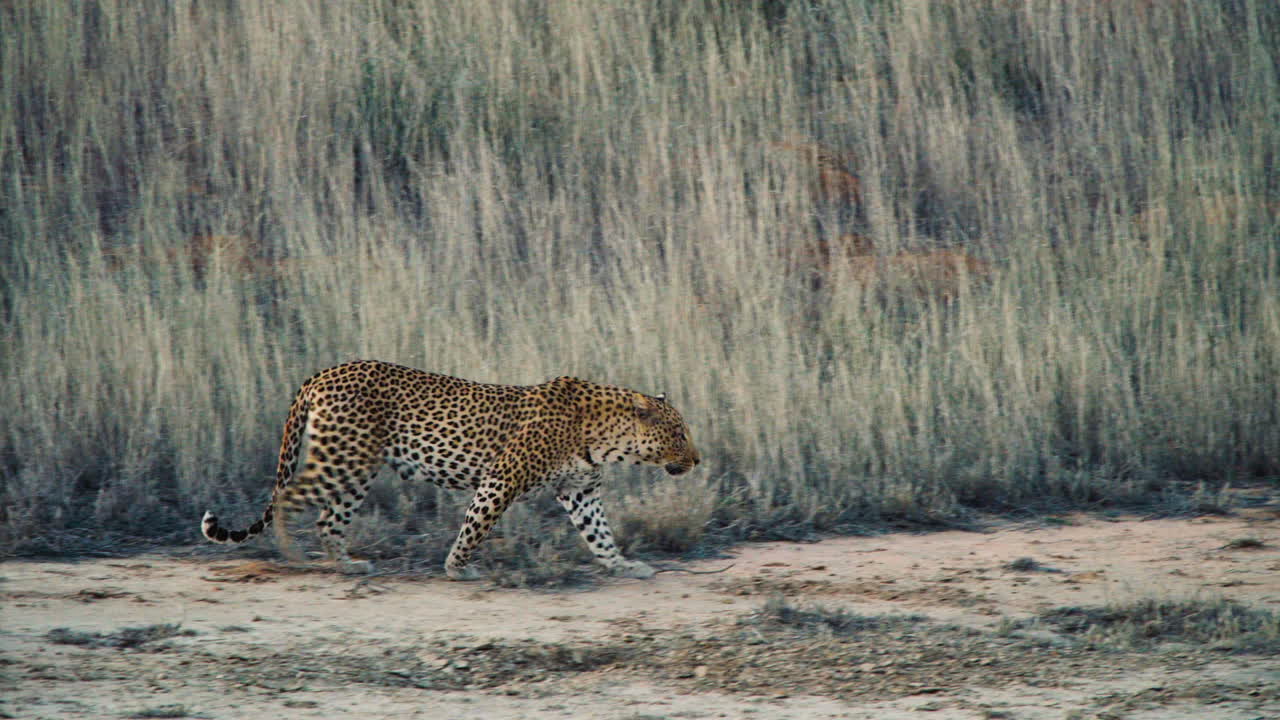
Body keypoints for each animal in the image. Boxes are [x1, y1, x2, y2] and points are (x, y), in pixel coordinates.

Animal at [201, 359, 701, 580]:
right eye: (679, 434)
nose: (698, 460)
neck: (606, 437)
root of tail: (324, 373)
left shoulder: (581, 492)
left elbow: (600, 534)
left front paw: (623, 565)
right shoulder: (502, 479)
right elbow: (475, 527)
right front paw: (456, 568)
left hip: (356, 470)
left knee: (328, 519)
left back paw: (346, 564)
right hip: (344, 458)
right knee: (287, 498)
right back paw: (294, 554)